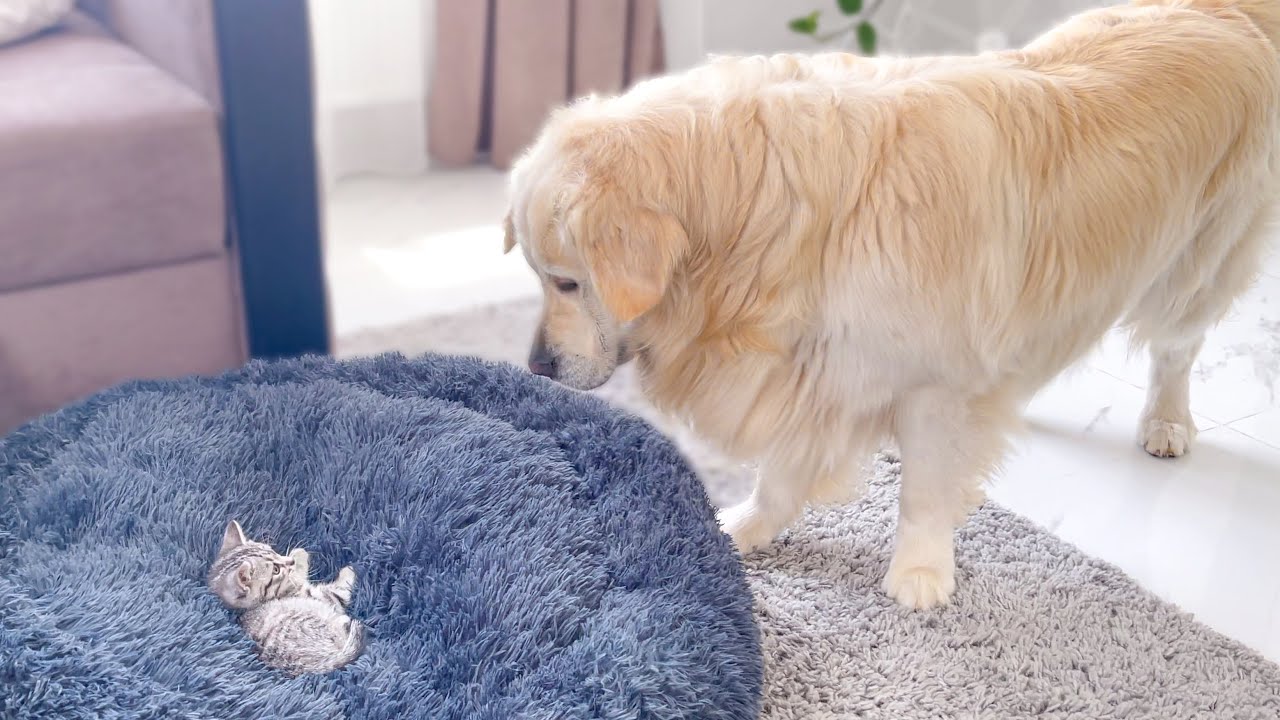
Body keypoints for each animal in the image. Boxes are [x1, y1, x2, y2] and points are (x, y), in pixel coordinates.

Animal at [206, 515, 363, 671]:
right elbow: (336, 592)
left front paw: (297, 554)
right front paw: (349, 570)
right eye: (276, 570)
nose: (291, 561)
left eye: (273, 550)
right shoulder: (316, 595)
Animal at [499, 0, 1280, 604]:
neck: (766, 210)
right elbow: (782, 472)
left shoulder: (932, 383)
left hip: (1198, 262)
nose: (536, 366)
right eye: (539, 276)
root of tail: (1225, 11)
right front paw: (744, 526)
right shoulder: (817, 368)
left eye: (567, 282)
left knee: (1176, 347)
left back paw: (1167, 421)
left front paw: (921, 572)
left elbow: (923, 489)